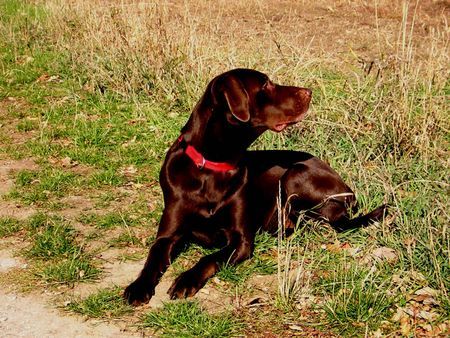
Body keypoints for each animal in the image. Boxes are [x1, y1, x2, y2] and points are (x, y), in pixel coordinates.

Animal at [124, 68, 386, 306]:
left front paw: (185, 280)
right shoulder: (167, 236)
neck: (211, 167)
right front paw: (138, 287)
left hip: (294, 174)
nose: (309, 92)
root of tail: (348, 188)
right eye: (265, 85)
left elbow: (208, 259)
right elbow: (152, 257)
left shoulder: (241, 241)